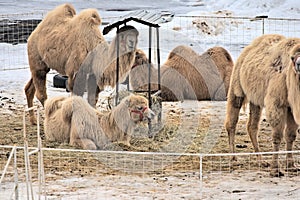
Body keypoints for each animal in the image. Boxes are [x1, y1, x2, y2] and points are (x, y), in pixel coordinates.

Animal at [224, 34, 300, 177]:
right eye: (293, 58)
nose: (299, 64)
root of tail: (248, 49)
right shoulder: (276, 103)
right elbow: (277, 136)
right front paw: (275, 170)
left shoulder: (292, 107)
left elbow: (291, 135)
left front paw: (291, 166)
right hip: (236, 84)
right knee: (232, 121)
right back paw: (233, 158)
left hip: (255, 99)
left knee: (252, 126)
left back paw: (261, 160)